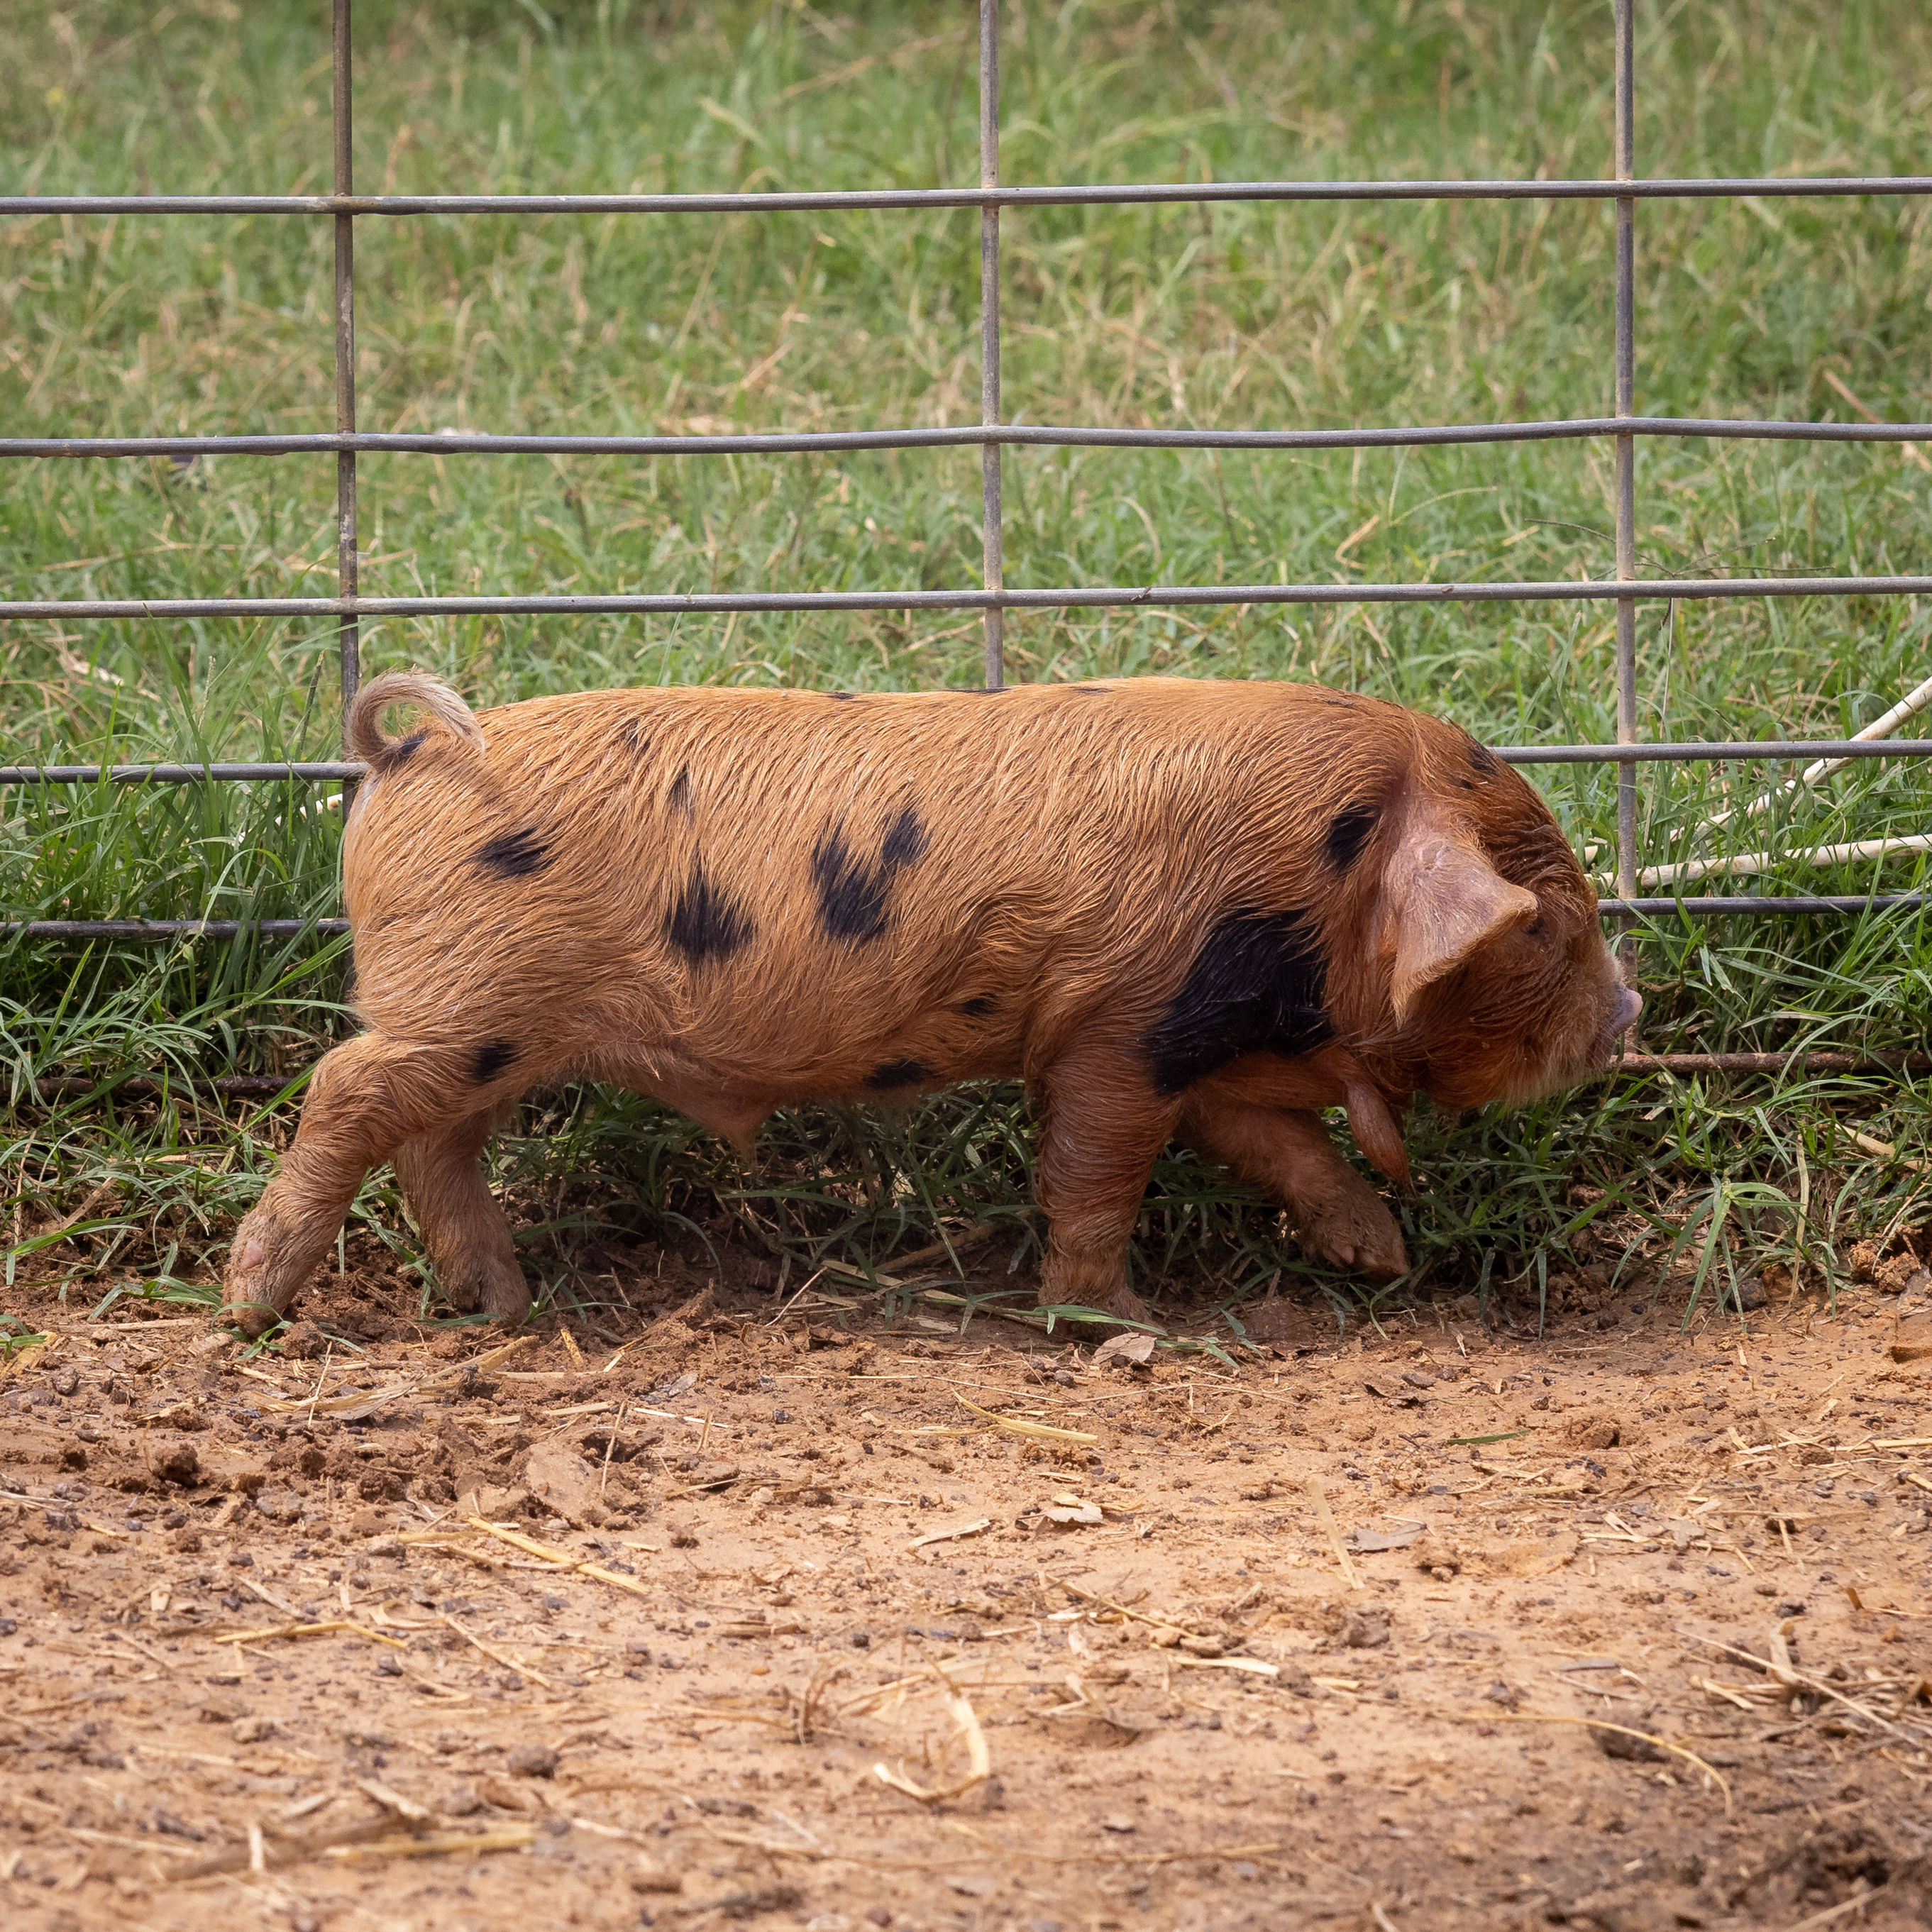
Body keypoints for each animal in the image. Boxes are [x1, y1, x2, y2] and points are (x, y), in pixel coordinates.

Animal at [219, 671, 1639, 1335]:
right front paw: (1122, 1320)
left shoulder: (1187, 1038)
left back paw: (503, 1302)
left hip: (491, 1029)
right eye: (1554, 921)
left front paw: (1376, 1254)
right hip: (466, 1003)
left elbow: (1276, 1141)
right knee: (347, 1091)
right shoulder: (1117, 1022)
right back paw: (254, 1301)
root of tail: (406, 757)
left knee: (434, 1142)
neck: (1311, 882)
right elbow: (1095, 1166)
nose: (1627, 1008)